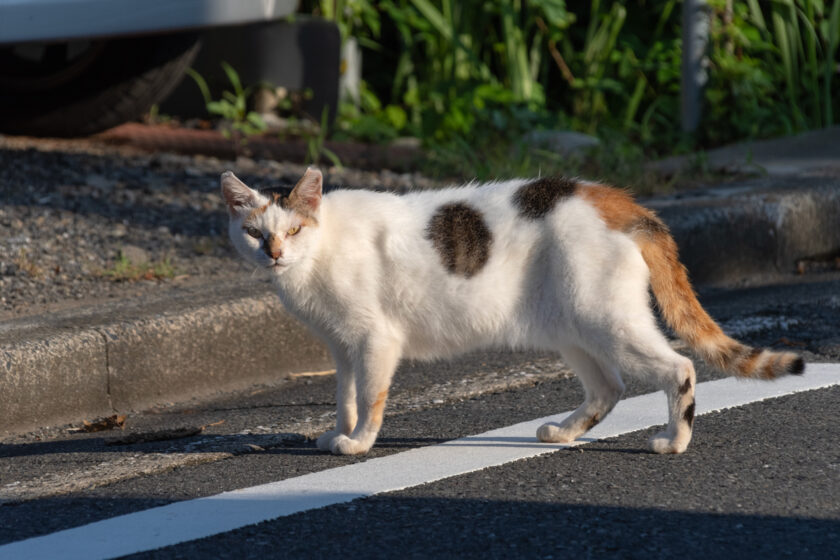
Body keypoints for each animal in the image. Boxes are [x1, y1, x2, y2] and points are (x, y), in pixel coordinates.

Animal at [220, 166, 804, 456]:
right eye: (255, 233)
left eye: (295, 229)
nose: (274, 254)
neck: (317, 255)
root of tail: (615, 199)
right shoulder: (342, 347)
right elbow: (344, 397)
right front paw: (336, 432)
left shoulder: (374, 341)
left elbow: (370, 398)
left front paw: (359, 444)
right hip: (571, 325)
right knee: (608, 386)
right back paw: (565, 433)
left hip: (605, 319)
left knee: (679, 368)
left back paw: (674, 442)